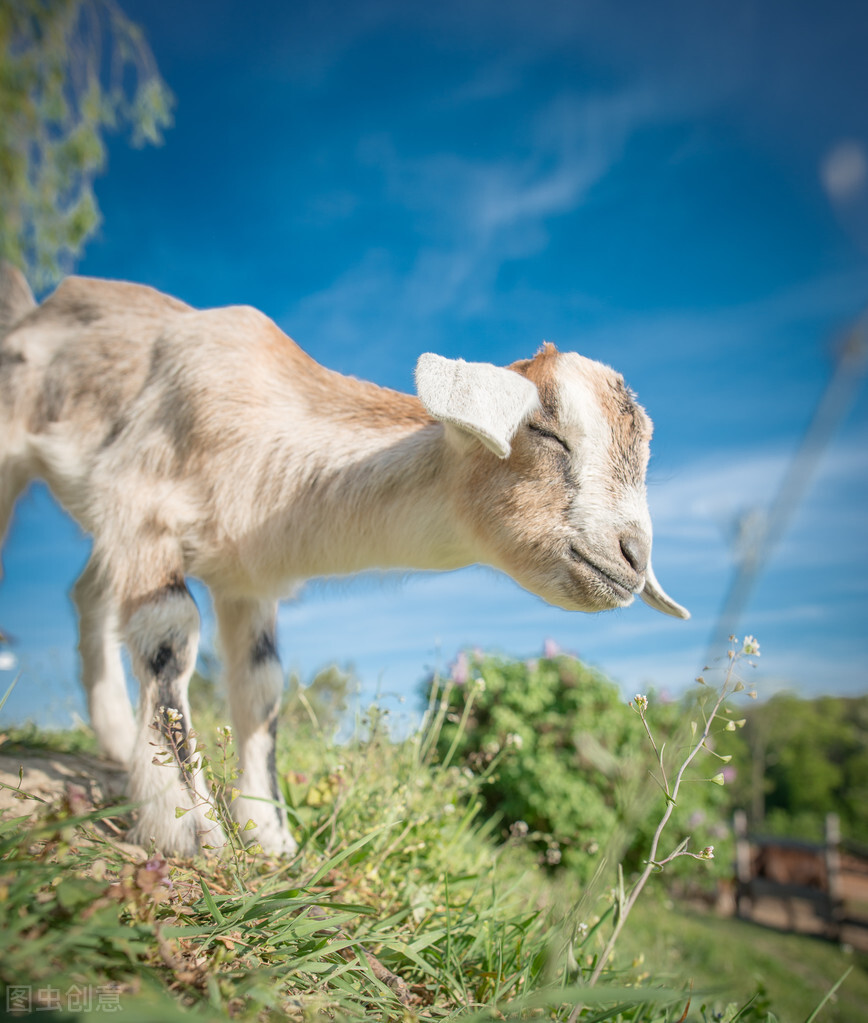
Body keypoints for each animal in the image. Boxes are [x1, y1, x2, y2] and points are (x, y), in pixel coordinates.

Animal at [0, 263, 691, 855]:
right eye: (546, 431)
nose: (633, 556)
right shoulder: (143, 508)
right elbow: (169, 635)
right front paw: (187, 826)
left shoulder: (245, 577)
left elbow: (261, 683)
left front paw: (270, 836)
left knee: (88, 592)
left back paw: (117, 741)